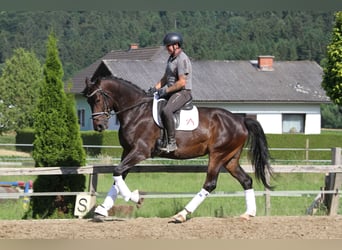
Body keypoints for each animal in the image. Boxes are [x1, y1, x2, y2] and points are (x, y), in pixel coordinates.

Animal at [83, 75, 272, 223]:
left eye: (97, 99)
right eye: (88, 101)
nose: (99, 126)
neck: (136, 111)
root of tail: (241, 120)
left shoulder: (140, 151)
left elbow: (117, 172)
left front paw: (135, 197)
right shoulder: (127, 151)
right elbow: (118, 176)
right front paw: (101, 210)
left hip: (218, 155)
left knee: (210, 184)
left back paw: (181, 214)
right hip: (230, 158)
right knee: (246, 180)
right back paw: (249, 213)